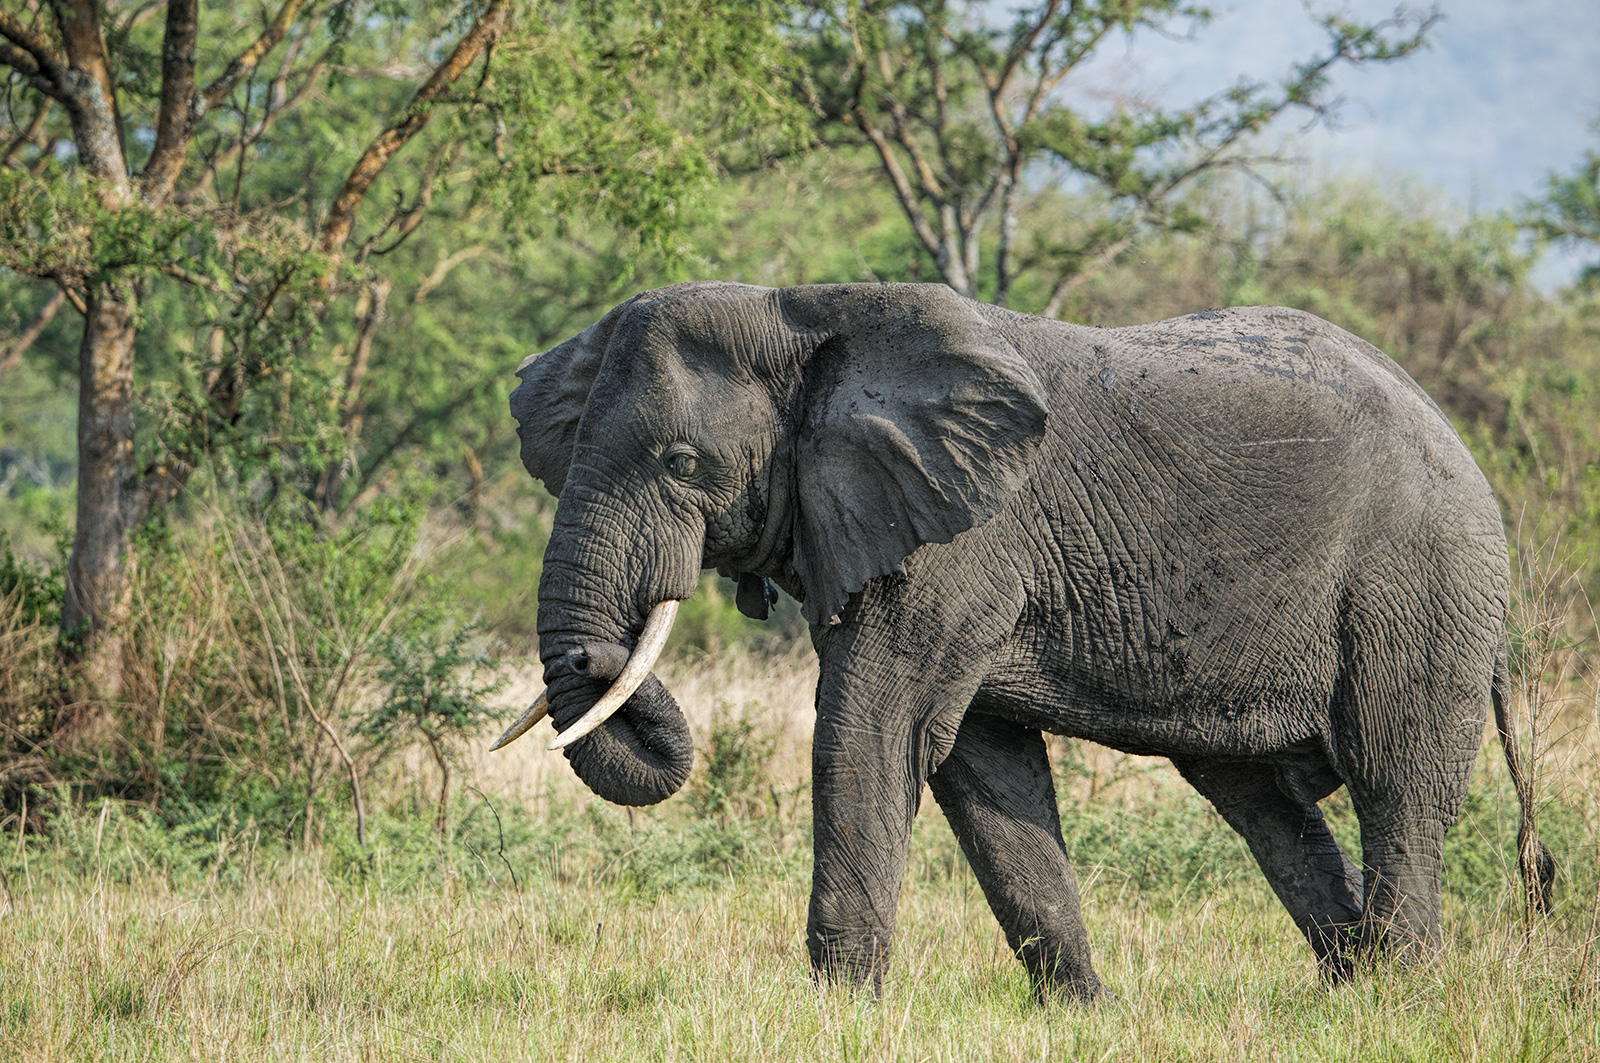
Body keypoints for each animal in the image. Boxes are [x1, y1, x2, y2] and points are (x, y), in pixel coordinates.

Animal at [498, 280, 1553, 1001]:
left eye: (682, 464)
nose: (595, 657)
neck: (801, 313)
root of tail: (1461, 445)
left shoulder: (963, 540)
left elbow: (871, 730)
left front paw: (837, 1011)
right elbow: (982, 765)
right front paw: (1081, 1014)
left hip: (1418, 583)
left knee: (1395, 782)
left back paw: (1395, 998)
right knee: (1260, 801)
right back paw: (1345, 991)